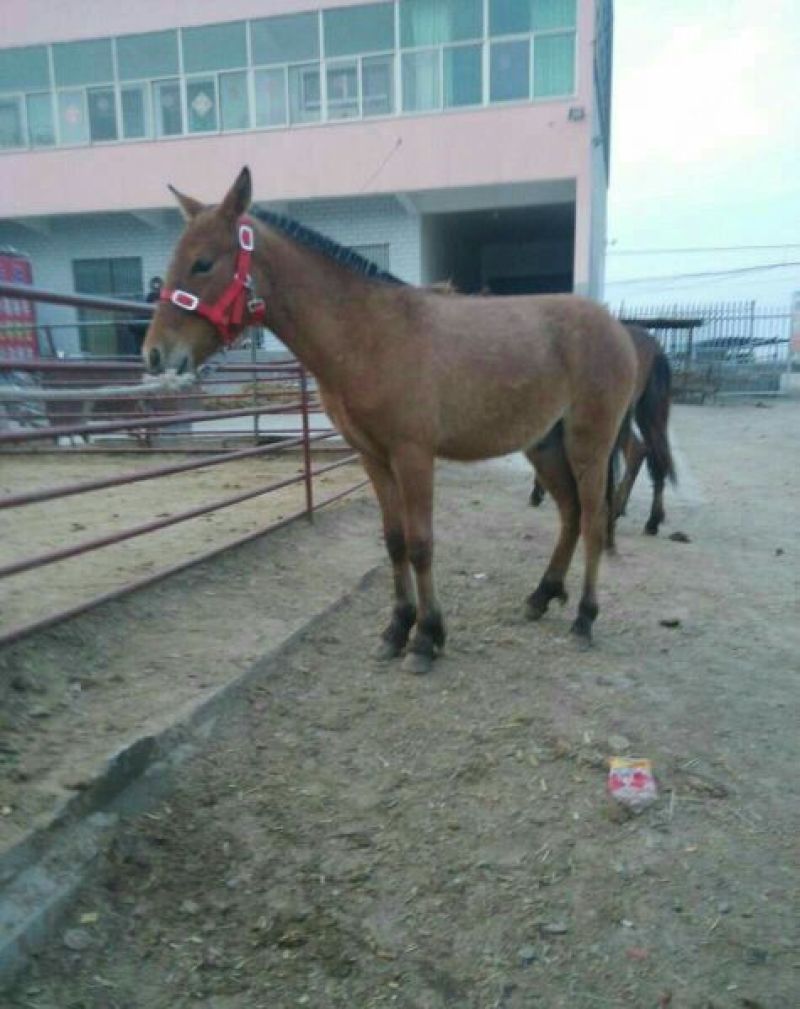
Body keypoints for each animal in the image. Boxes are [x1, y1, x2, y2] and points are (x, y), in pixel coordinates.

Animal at [143, 167, 637, 673]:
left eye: (203, 263)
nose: (156, 354)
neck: (369, 333)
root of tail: (616, 328)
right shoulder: (373, 457)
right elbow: (395, 540)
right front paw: (398, 629)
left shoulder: (412, 455)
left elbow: (420, 544)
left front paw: (426, 639)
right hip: (545, 445)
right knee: (571, 514)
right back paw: (541, 596)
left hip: (589, 445)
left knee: (594, 519)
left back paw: (585, 618)